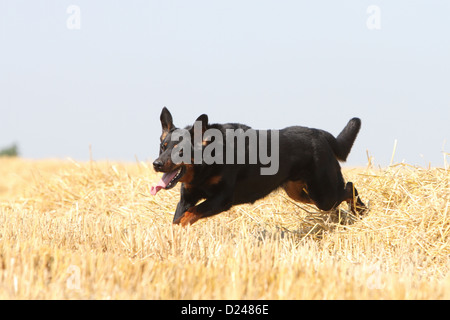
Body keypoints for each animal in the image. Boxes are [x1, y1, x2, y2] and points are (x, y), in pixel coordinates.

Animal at [151, 106, 366, 226]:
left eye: (181, 151)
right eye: (163, 147)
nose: (156, 164)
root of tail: (320, 134)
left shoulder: (222, 199)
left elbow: (190, 214)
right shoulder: (187, 197)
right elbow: (178, 218)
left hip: (323, 193)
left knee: (349, 187)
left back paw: (360, 211)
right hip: (301, 193)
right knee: (339, 198)